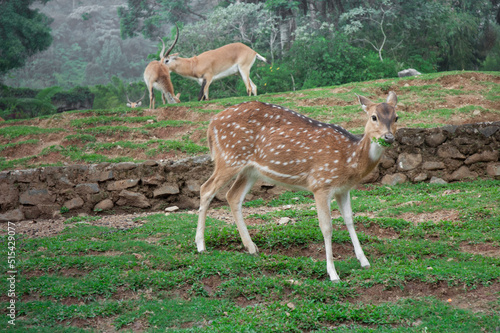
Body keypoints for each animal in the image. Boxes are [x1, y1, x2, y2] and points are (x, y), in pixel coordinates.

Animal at [195, 91, 398, 280]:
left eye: (396, 117)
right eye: (374, 117)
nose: (388, 137)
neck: (350, 159)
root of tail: (211, 124)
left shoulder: (343, 189)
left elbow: (349, 219)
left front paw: (364, 261)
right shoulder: (320, 184)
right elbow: (327, 227)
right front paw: (333, 273)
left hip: (250, 170)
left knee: (233, 196)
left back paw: (251, 247)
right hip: (229, 157)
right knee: (206, 189)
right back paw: (200, 246)